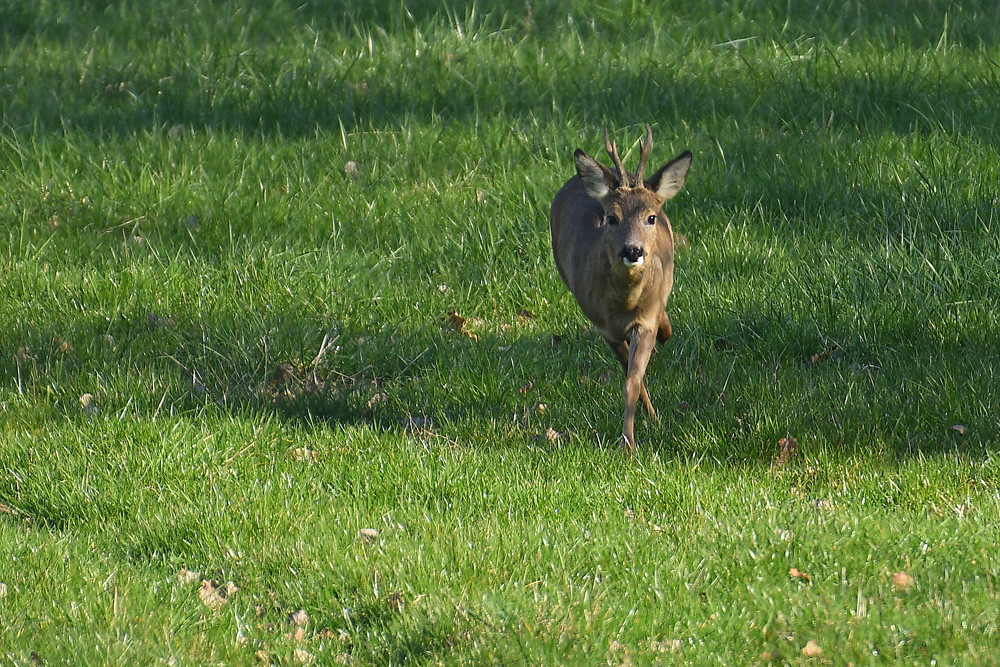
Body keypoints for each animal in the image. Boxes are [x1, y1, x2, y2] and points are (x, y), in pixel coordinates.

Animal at [552, 125, 692, 454]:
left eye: (650, 217)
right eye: (612, 218)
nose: (633, 250)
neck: (624, 305)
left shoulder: (645, 320)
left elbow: (632, 381)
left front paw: (630, 440)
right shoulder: (604, 327)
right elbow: (633, 378)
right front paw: (631, 439)